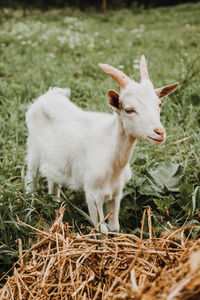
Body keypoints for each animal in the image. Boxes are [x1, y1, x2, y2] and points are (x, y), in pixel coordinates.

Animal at [25, 56, 178, 234]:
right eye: (129, 109)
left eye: (159, 104)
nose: (159, 132)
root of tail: (50, 94)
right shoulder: (92, 194)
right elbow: (101, 229)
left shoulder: (116, 193)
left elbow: (115, 227)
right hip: (33, 150)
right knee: (32, 177)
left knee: (52, 181)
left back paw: (55, 205)